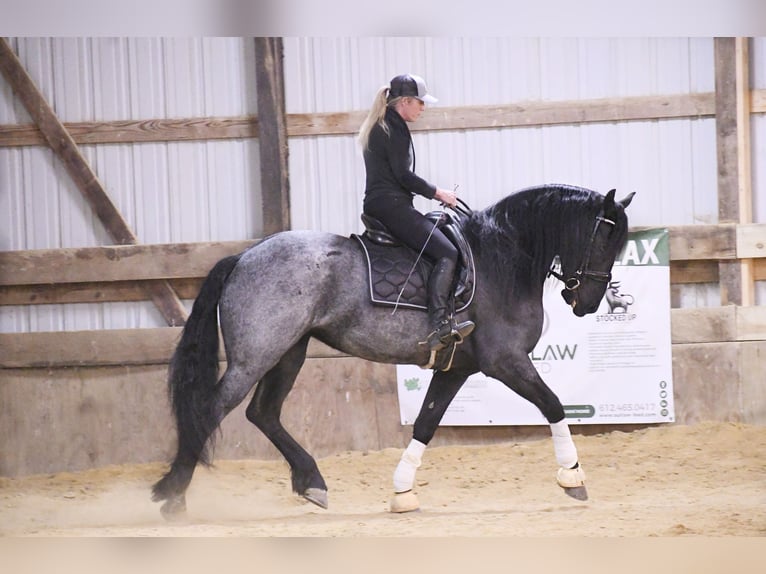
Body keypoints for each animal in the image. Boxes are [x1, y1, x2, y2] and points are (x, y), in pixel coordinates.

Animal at [150, 186, 636, 520]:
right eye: (603, 241)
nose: (590, 303)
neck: (502, 260)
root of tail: (244, 257)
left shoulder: (456, 369)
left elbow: (425, 424)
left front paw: (403, 492)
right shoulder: (506, 362)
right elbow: (553, 404)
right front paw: (573, 477)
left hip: (289, 352)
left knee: (263, 413)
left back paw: (311, 482)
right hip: (256, 356)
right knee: (212, 409)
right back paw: (173, 493)